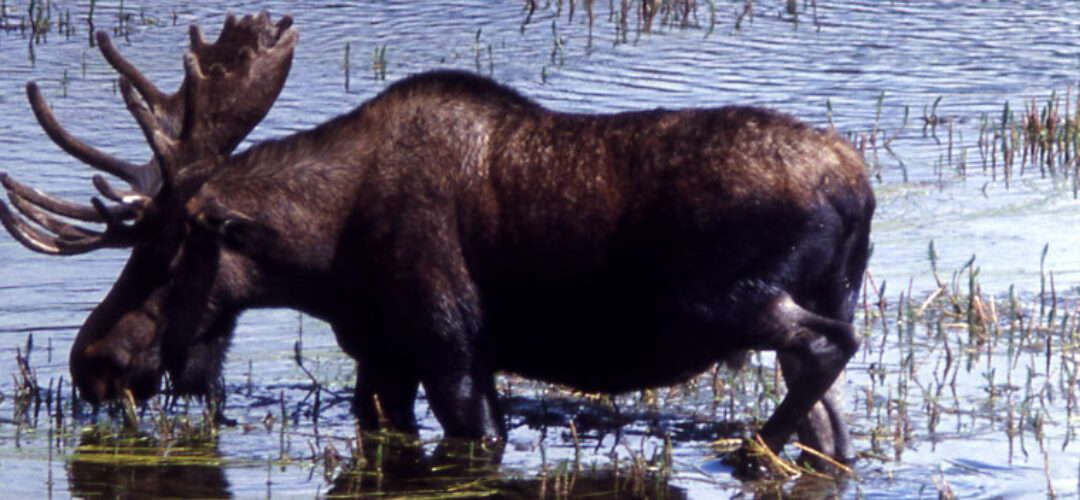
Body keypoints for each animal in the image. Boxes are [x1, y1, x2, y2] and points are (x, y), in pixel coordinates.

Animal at [0, 11, 873, 466]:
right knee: (831, 413)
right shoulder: (380, 356)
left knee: (827, 347)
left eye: (165, 251)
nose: (91, 363)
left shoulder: (451, 345)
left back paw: (749, 448)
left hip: (723, 298)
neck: (322, 256)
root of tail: (858, 190)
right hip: (812, 292)